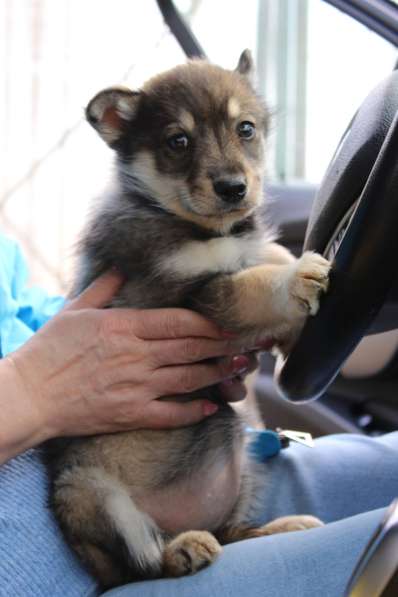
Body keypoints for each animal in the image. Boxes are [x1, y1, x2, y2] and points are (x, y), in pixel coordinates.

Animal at [46, 50, 332, 588]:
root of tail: (177, 517)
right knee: (138, 562)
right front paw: (297, 282)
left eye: (246, 129)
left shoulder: (242, 253)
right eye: (177, 141)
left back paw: (281, 526)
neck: (198, 226)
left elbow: (267, 256)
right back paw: (182, 551)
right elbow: (255, 287)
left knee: (232, 531)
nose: (234, 188)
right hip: (91, 492)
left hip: (244, 461)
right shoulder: (194, 291)